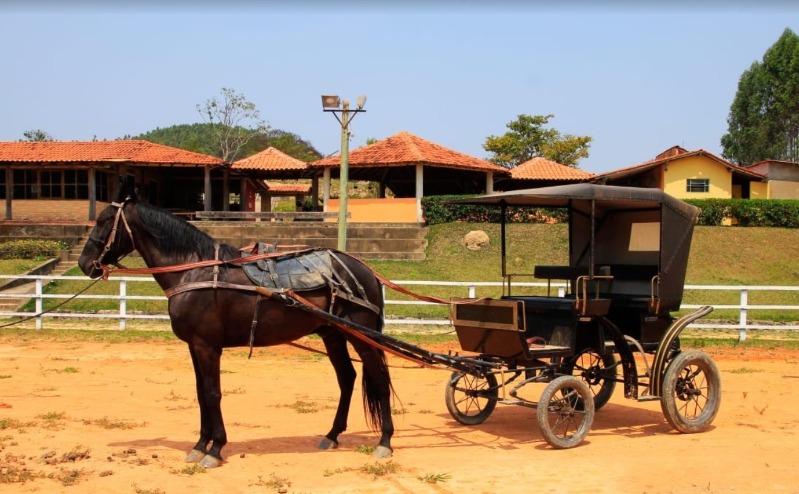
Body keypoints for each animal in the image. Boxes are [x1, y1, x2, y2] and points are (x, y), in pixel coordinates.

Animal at [78, 193, 396, 466]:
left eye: (105, 220)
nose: (83, 264)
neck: (195, 270)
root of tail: (366, 271)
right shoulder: (195, 346)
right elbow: (200, 393)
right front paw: (200, 445)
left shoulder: (208, 346)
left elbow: (212, 393)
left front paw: (215, 448)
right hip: (333, 334)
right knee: (347, 378)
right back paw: (331, 436)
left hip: (364, 337)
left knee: (379, 379)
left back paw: (385, 441)